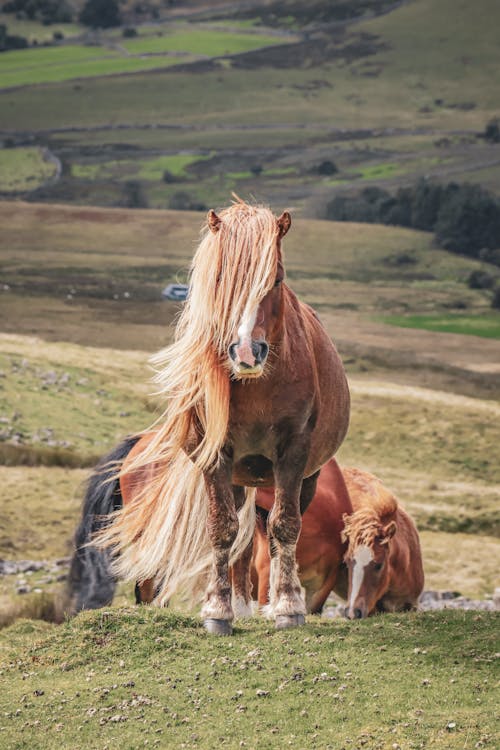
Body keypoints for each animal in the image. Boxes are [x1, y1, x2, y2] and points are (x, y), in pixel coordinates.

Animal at [71, 200, 352, 636]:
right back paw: (239, 605)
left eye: (275, 279)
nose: (247, 352)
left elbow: (285, 526)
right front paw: (219, 612)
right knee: (238, 543)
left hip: (305, 474)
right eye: (220, 276)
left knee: (275, 532)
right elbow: (222, 530)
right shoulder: (215, 454)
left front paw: (288, 607)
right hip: (238, 477)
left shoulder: (293, 453)